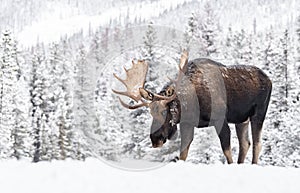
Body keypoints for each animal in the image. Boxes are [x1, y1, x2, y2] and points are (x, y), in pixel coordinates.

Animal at [112, 50, 272, 164]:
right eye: (151, 112)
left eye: (164, 111)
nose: (155, 139)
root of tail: (269, 79)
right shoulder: (187, 124)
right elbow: (183, 154)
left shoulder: (220, 119)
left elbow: (226, 151)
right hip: (241, 120)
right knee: (245, 143)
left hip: (259, 113)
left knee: (257, 144)